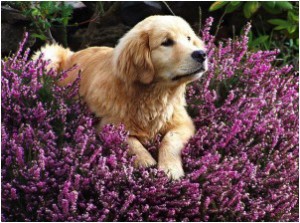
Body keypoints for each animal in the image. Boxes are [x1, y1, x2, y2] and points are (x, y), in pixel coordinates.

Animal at [32, 15, 206, 179]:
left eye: (189, 38)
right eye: (167, 42)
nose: (202, 54)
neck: (152, 96)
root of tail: (70, 54)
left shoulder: (184, 122)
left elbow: (170, 139)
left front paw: (171, 168)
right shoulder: (106, 125)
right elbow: (129, 141)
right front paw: (145, 162)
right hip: (48, 56)